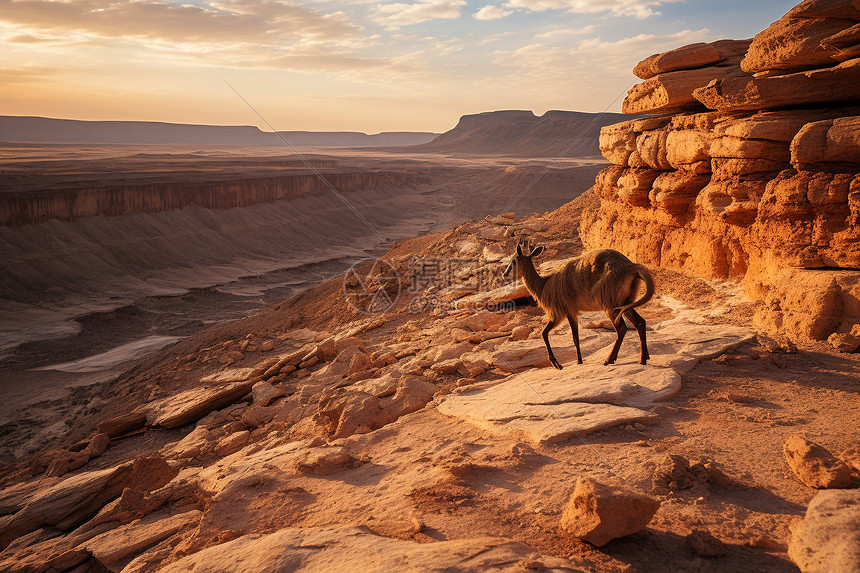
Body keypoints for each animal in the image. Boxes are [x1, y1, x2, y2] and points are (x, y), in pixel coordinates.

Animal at [504, 240, 652, 366]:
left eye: (513, 261)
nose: (504, 275)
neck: (545, 284)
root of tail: (631, 267)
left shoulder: (563, 313)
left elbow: (565, 336)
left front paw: (569, 362)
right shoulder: (567, 314)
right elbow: (549, 333)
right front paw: (563, 363)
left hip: (611, 305)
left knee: (621, 328)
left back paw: (609, 360)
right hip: (625, 304)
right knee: (640, 322)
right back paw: (643, 358)